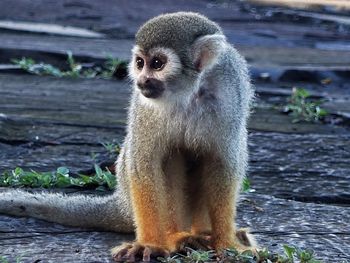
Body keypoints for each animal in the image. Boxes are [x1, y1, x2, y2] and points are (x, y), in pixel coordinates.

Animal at [0, 11, 258, 262]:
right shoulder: (144, 106)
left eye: (157, 64)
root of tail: (122, 203)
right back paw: (177, 237)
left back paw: (204, 233)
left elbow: (222, 165)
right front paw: (150, 244)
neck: (189, 93)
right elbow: (144, 165)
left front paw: (227, 244)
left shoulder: (228, 97)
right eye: (140, 63)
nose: (142, 80)